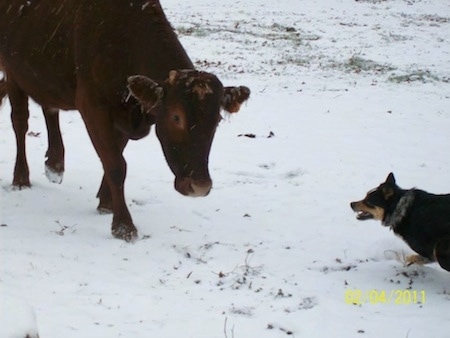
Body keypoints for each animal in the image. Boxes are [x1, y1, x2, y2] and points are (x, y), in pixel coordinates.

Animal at [0, 1, 250, 242]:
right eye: (176, 116)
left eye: (217, 119)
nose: (199, 186)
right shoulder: (93, 106)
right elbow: (116, 164)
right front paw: (123, 225)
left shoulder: (126, 118)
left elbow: (115, 156)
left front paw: (105, 202)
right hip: (13, 72)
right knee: (20, 122)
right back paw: (21, 178)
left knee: (49, 108)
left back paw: (55, 164)